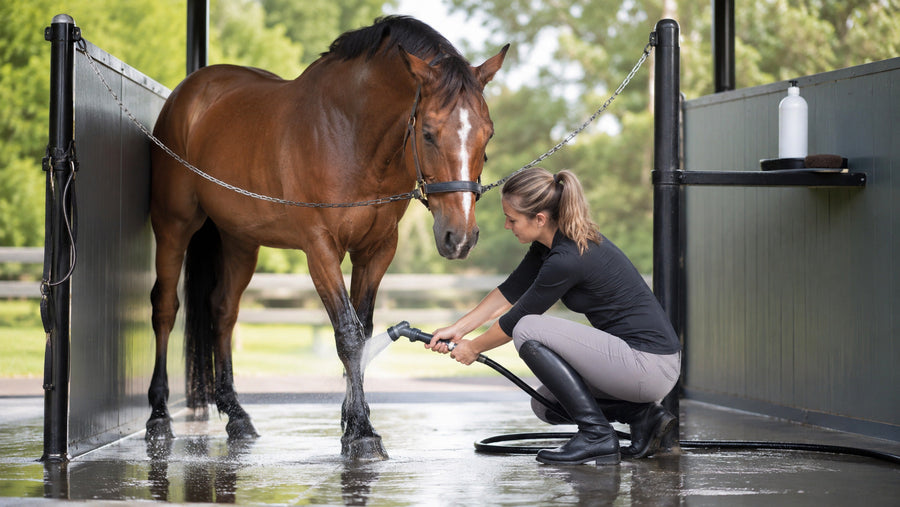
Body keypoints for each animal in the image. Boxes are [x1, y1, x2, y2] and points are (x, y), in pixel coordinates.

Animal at [145, 16, 507, 460]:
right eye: (428, 133)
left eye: (488, 135)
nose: (460, 237)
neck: (350, 134)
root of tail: (189, 91)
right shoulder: (319, 248)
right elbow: (347, 334)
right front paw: (363, 434)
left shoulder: (377, 249)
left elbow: (363, 333)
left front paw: (352, 424)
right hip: (173, 225)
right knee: (165, 308)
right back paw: (159, 416)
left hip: (240, 241)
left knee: (223, 311)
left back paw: (237, 415)